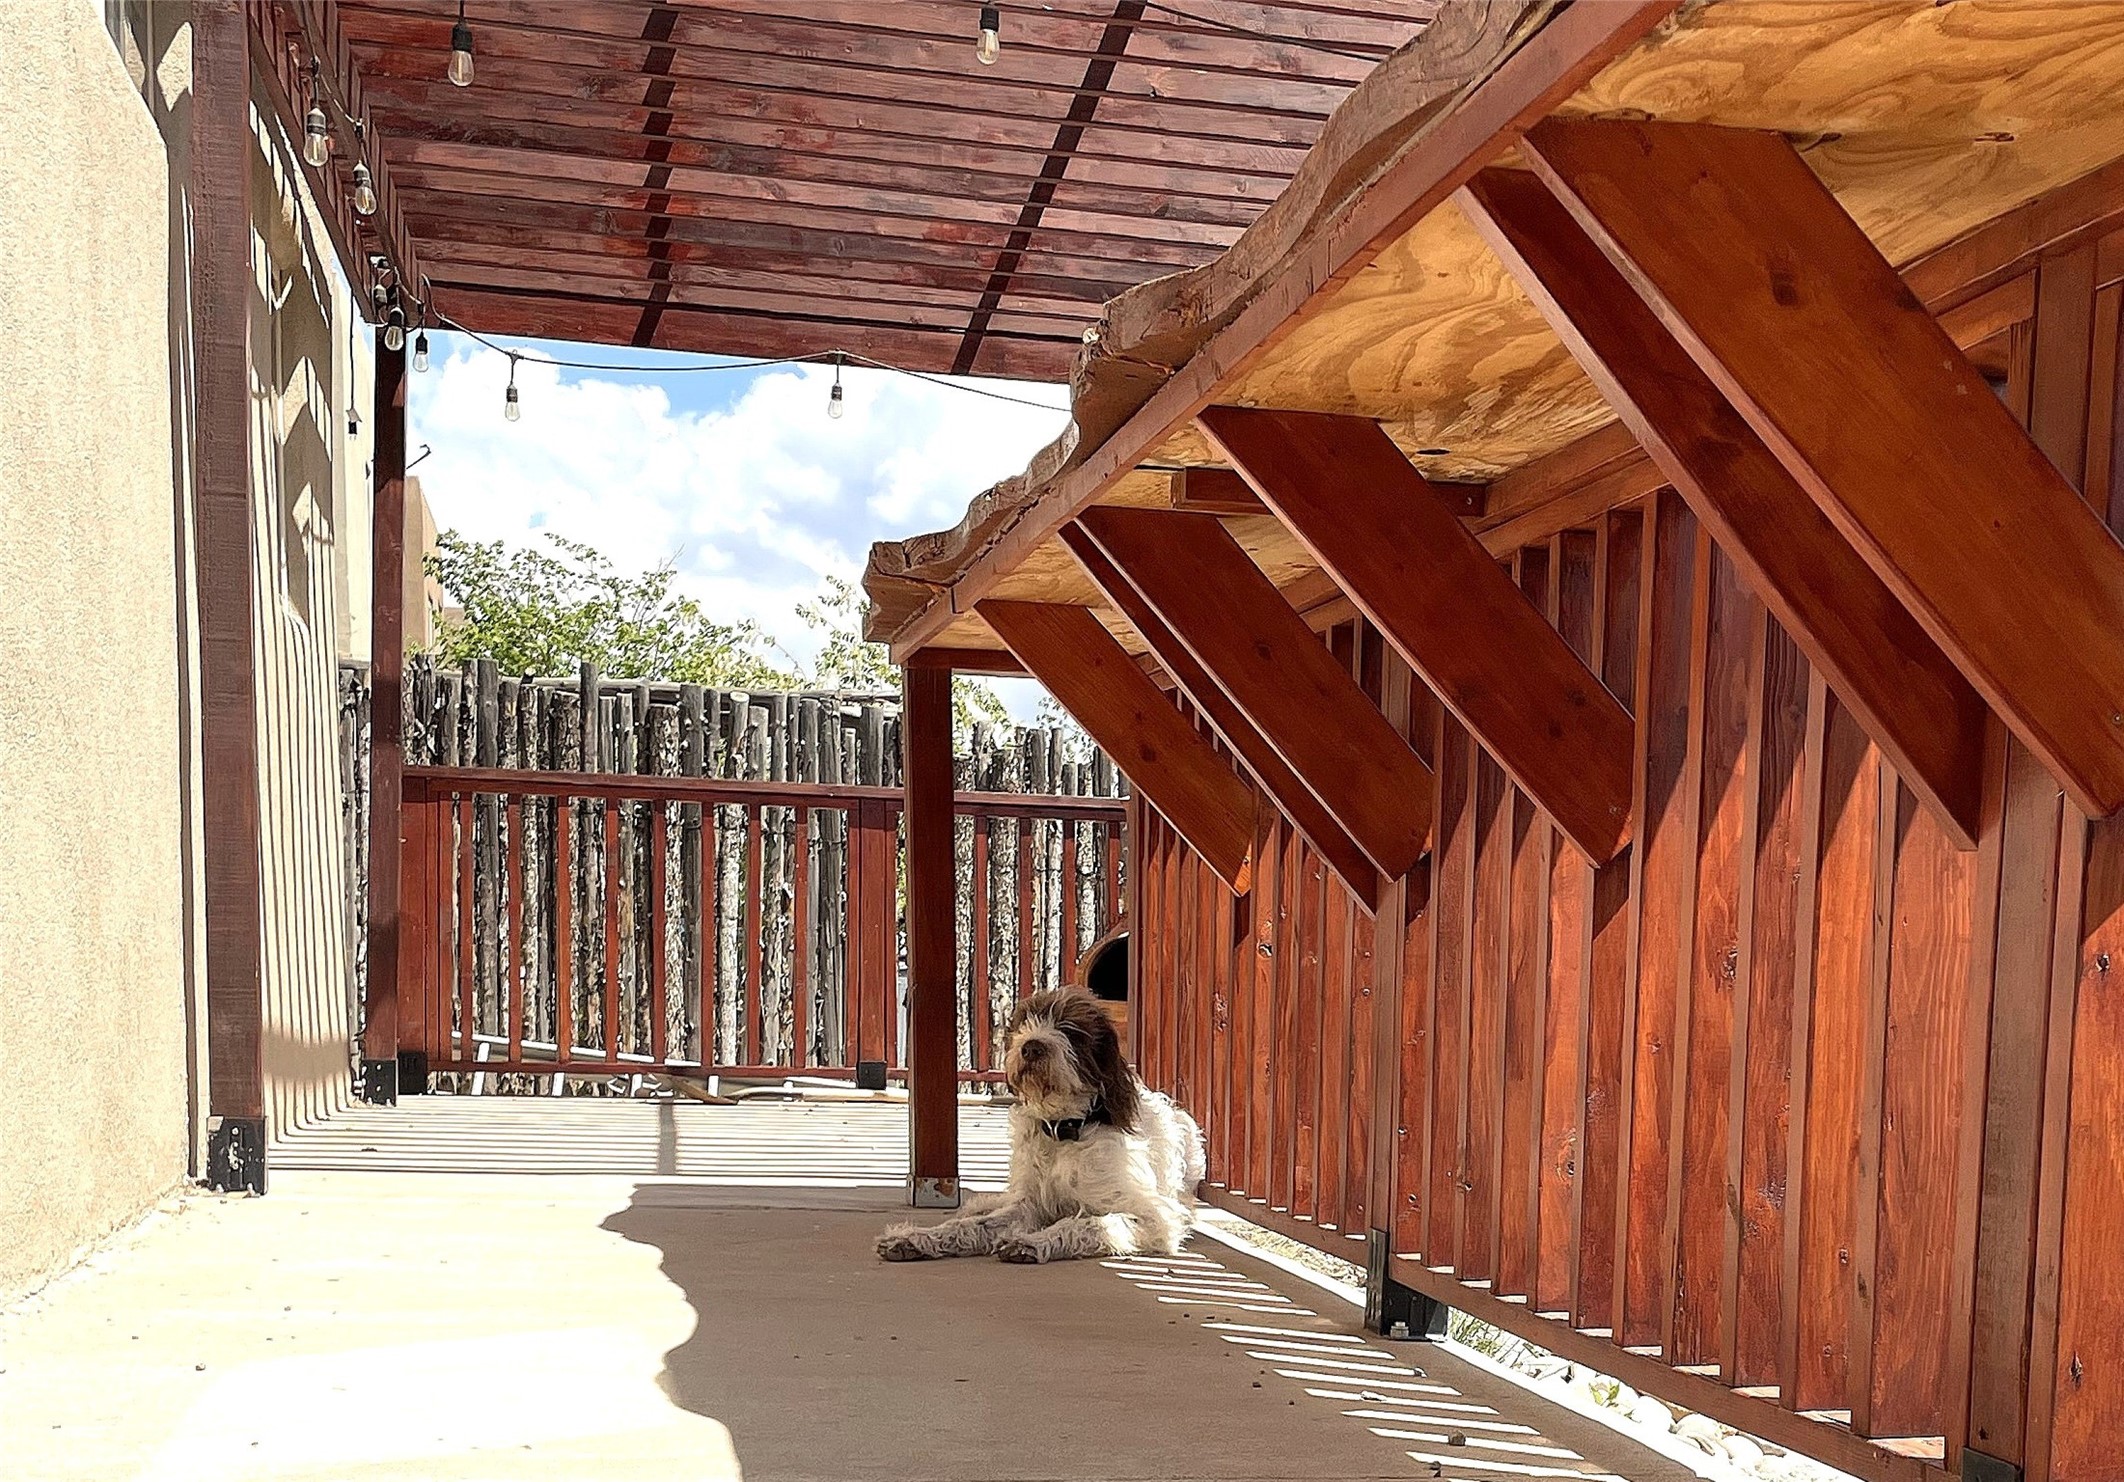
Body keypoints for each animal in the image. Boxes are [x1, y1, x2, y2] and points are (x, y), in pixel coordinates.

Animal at [876, 988, 1205, 1265]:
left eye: (1070, 1030)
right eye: (1025, 1022)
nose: (1031, 1048)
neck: (1063, 1130)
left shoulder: (1154, 1217)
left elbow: (1091, 1223)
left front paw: (1031, 1243)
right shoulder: (1029, 1204)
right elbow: (974, 1224)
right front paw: (912, 1239)